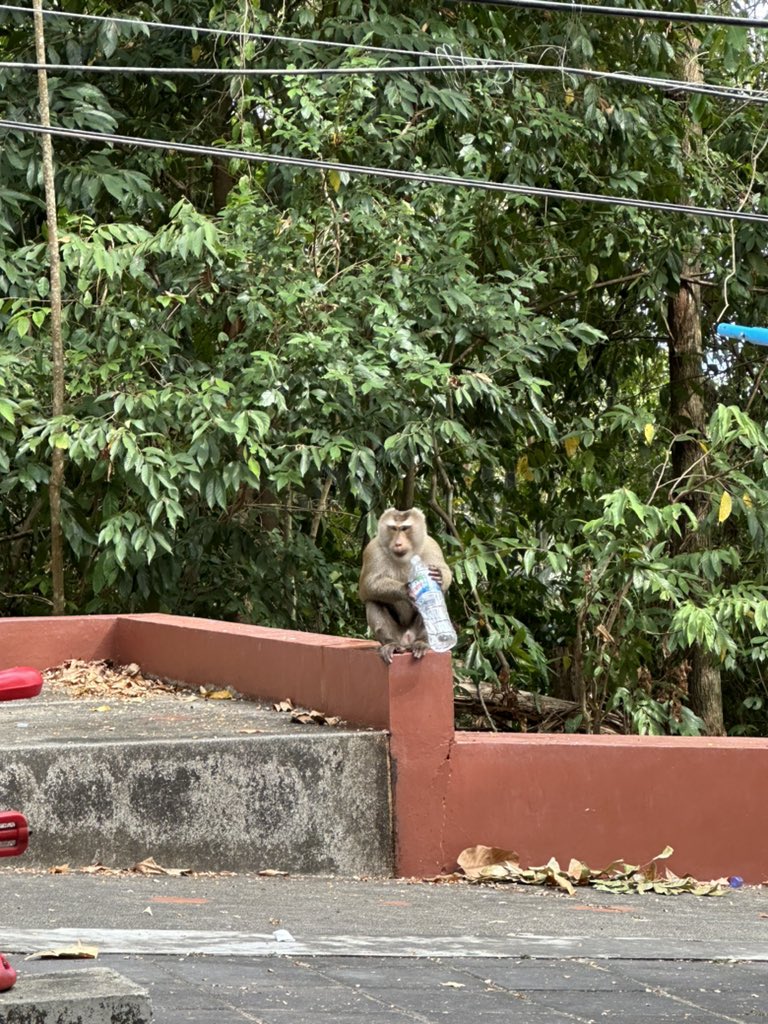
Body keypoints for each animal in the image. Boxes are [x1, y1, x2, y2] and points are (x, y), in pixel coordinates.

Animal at [360, 509, 454, 663]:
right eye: (393, 528)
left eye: (405, 528)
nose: (398, 543)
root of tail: (406, 640)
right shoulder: (372, 550)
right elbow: (367, 586)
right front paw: (406, 590)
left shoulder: (432, 546)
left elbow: (444, 572)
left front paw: (439, 576)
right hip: (397, 634)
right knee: (373, 601)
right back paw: (391, 644)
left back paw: (422, 642)